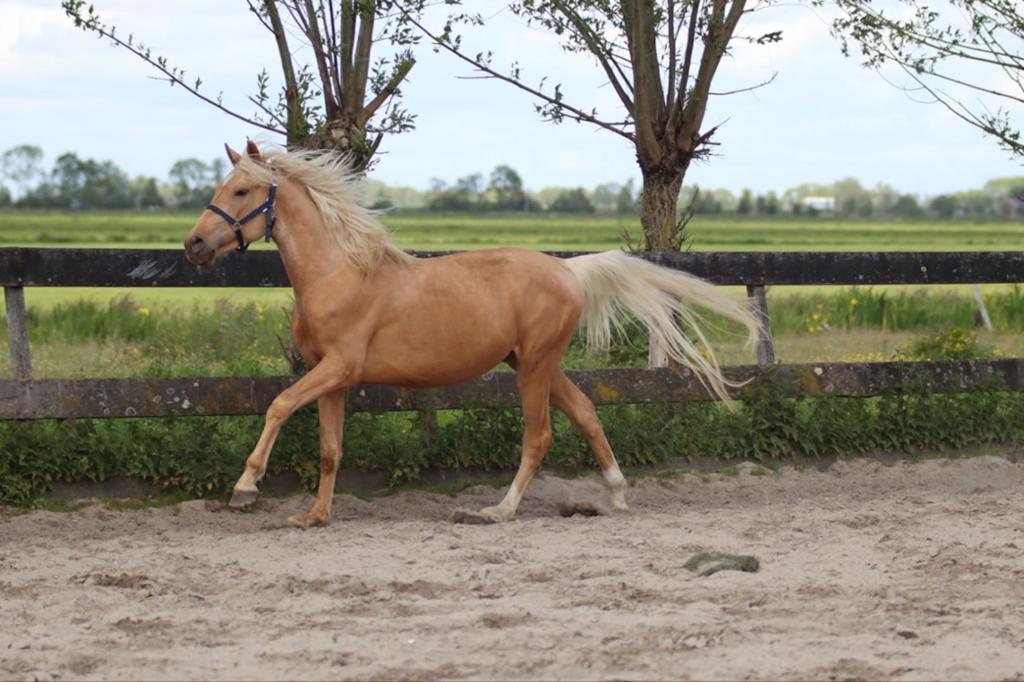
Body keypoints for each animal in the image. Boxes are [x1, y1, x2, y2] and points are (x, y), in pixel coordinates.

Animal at [184, 140, 758, 528]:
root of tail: (569, 270)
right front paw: (315, 515)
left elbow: (278, 405)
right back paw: (616, 494)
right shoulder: (334, 379)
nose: (194, 245)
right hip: (535, 362)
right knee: (587, 412)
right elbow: (330, 450)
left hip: (534, 367)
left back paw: (499, 509)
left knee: (539, 435)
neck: (338, 271)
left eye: (241, 189)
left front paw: (245, 486)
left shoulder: (339, 367)